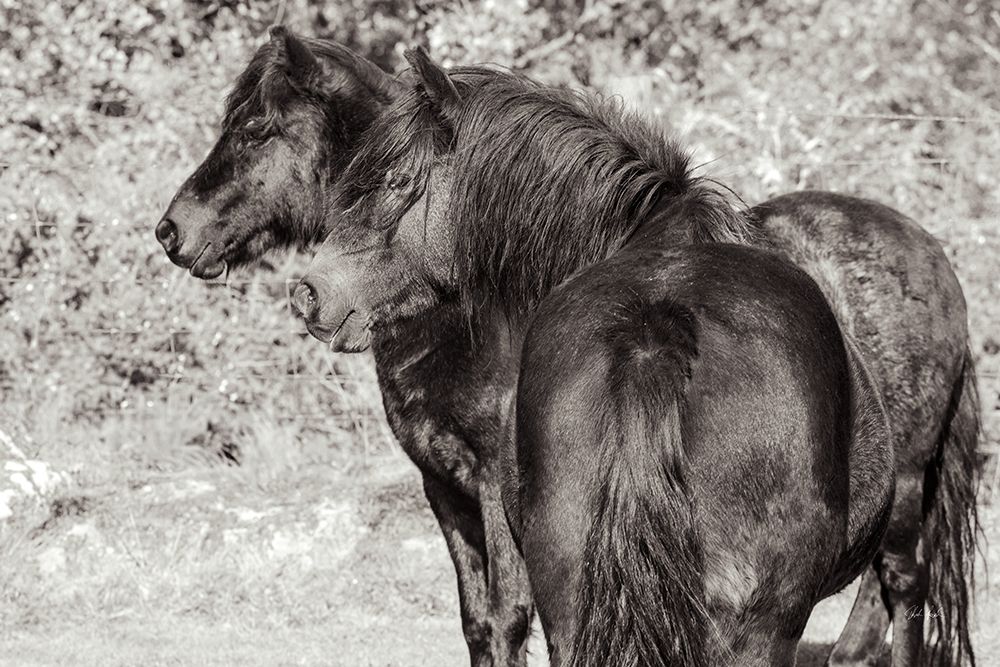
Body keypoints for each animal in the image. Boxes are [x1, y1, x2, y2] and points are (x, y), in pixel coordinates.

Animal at [156, 28, 980, 666]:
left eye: (258, 130)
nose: (172, 230)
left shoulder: (489, 486)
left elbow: (503, 618)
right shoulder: (445, 489)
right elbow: (478, 623)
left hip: (905, 489)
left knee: (901, 593)